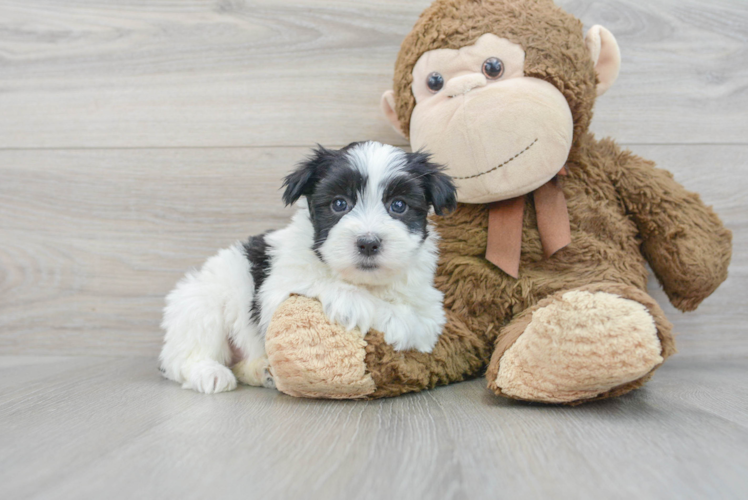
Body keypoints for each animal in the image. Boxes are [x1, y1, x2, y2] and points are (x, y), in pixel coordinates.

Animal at [161, 139, 458, 392]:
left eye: (398, 205)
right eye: (339, 203)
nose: (368, 243)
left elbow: (428, 317)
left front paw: (416, 325)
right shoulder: (282, 287)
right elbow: (345, 294)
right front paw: (399, 321)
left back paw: (262, 371)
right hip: (203, 301)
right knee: (185, 354)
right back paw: (210, 373)